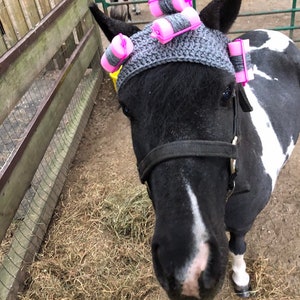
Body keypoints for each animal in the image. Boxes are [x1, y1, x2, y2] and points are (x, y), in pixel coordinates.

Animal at [89, 1, 300, 298]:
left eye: (227, 92)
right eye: (126, 108)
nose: (188, 269)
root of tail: (273, 33)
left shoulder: (242, 221)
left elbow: (237, 245)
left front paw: (241, 278)